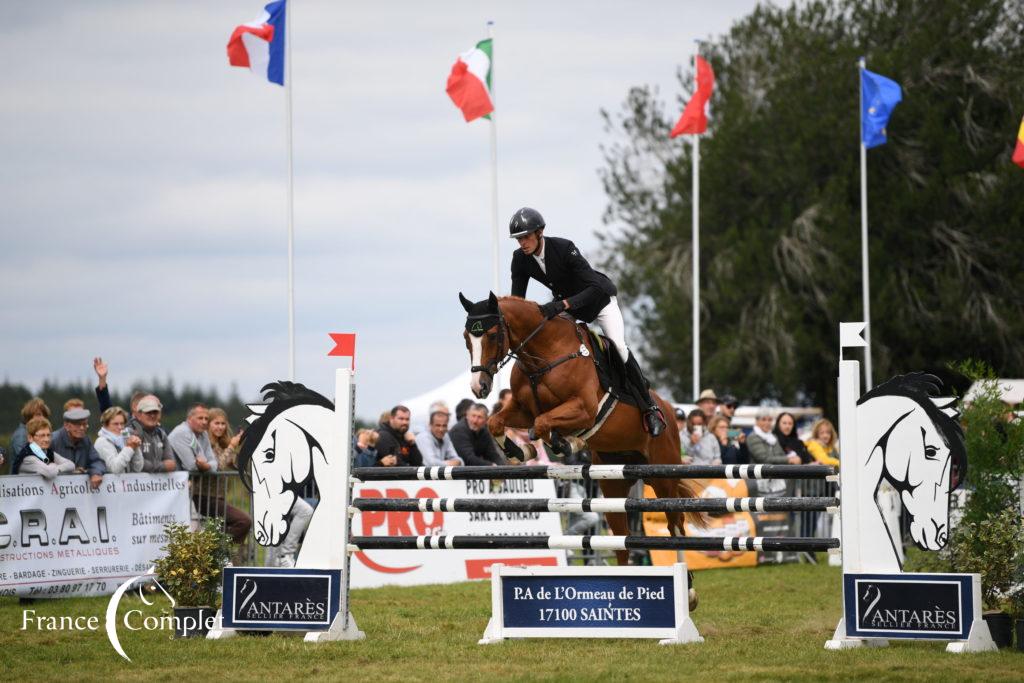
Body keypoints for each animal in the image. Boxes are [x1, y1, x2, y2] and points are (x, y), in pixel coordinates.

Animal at [462, 294, 696, 565]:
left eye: (491, 335)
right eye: (466, 337)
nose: (479, 387)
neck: (543, 356)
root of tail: (668, 409)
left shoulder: (584, 409)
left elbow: (542, 423)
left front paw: (565, 443)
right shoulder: (523, 410)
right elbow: (498, 422)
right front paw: (522, 451)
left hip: (664, 476)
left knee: (675, 525)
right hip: (614, 484)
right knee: (622, 540)